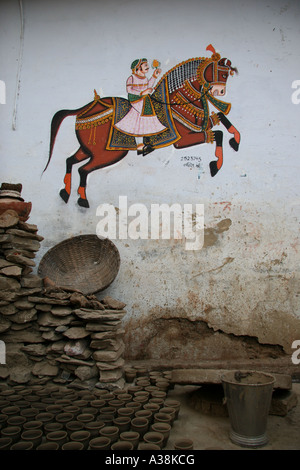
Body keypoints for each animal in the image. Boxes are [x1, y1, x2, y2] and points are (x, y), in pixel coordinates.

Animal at [45, 45, 241, 207]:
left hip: (88, 149)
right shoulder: (182, 139)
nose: (220, 91)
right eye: (222, 74)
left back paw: (65, 192)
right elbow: (217, 134)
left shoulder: (200, 127)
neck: (177, 100)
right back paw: (82, 199)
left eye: (227, 75)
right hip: (109, 154)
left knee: (70, 161)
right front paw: (216, 165)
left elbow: (222, 119)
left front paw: (235, 142)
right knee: (83, 170)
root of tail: (85, 108)